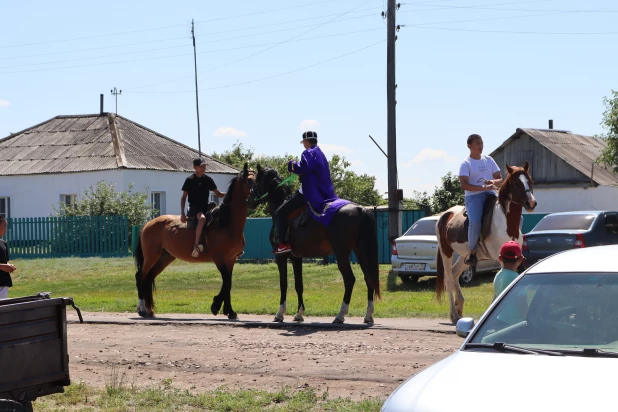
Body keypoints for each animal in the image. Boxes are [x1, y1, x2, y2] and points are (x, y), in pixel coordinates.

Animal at [134, 163, 253, 318]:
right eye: (249, 180)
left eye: (257, 178)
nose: (255, 197)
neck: (226, 223)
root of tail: (147, 224)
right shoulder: (219, 258)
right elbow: (226, 281)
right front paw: (216, 305)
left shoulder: (231, 259)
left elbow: (229, 283)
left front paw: (229, 311)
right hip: (151, 256)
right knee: (140, 277)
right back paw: (142, 309)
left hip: (164, 257)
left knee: (148, 277)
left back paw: (149, 310)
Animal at [247, 166, 380, 324]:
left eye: (256, 181)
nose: (249, 200)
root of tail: (360, 209)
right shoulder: (296, 258)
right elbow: (299, 285)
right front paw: (299, 314)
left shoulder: (281, 257)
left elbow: (283, 284)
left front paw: (280, 313)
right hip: (361, 251)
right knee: (368, 278)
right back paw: (368, 315)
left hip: (342, 253)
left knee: (349, 280)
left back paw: (340, 315)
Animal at [434, 162, 536, 326]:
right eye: (516, 183)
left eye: (530, 180)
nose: (531, 203)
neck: (506, 221)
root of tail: (446, 214)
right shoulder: (502, 259)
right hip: (446, 252)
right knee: (449, 279)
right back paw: (454, 315)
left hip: (465, 257)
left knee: (455, 274)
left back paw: (459, 306)